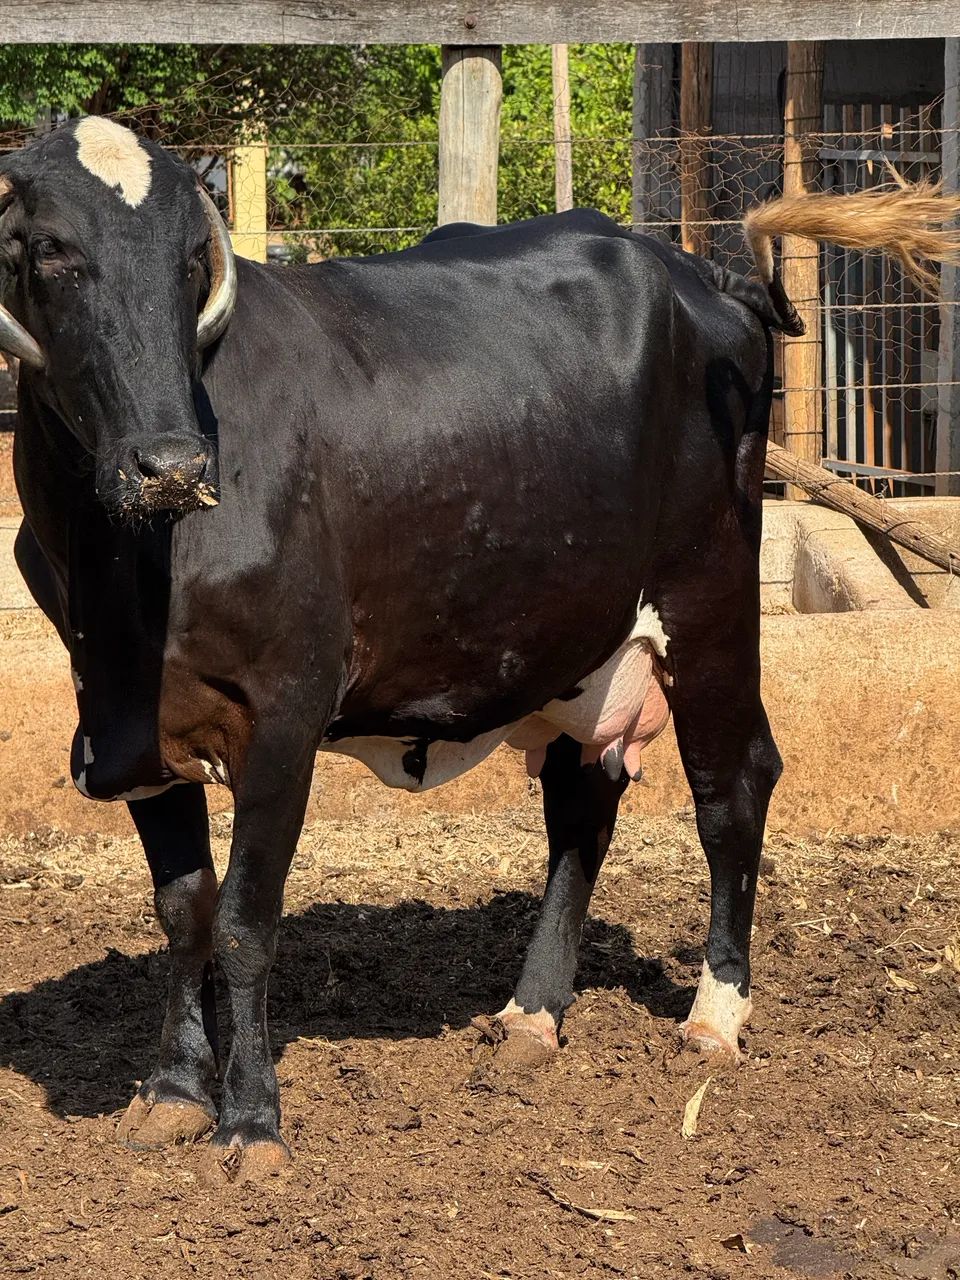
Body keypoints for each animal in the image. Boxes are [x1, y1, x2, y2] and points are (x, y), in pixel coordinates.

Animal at [5, 118, 957, 1183]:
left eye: (187, 262)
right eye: (51, 249)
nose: (170, 464)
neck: (126, 567)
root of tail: (690, 267)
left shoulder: (286, 714)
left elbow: (247, 922)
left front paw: (252, 1122)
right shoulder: (130, 717)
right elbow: (185, 912)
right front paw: (171, 1094)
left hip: (708, 602)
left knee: (733, 787)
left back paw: (715, 1017)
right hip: (576, 638)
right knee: (583, 808)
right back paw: (533, 1015)